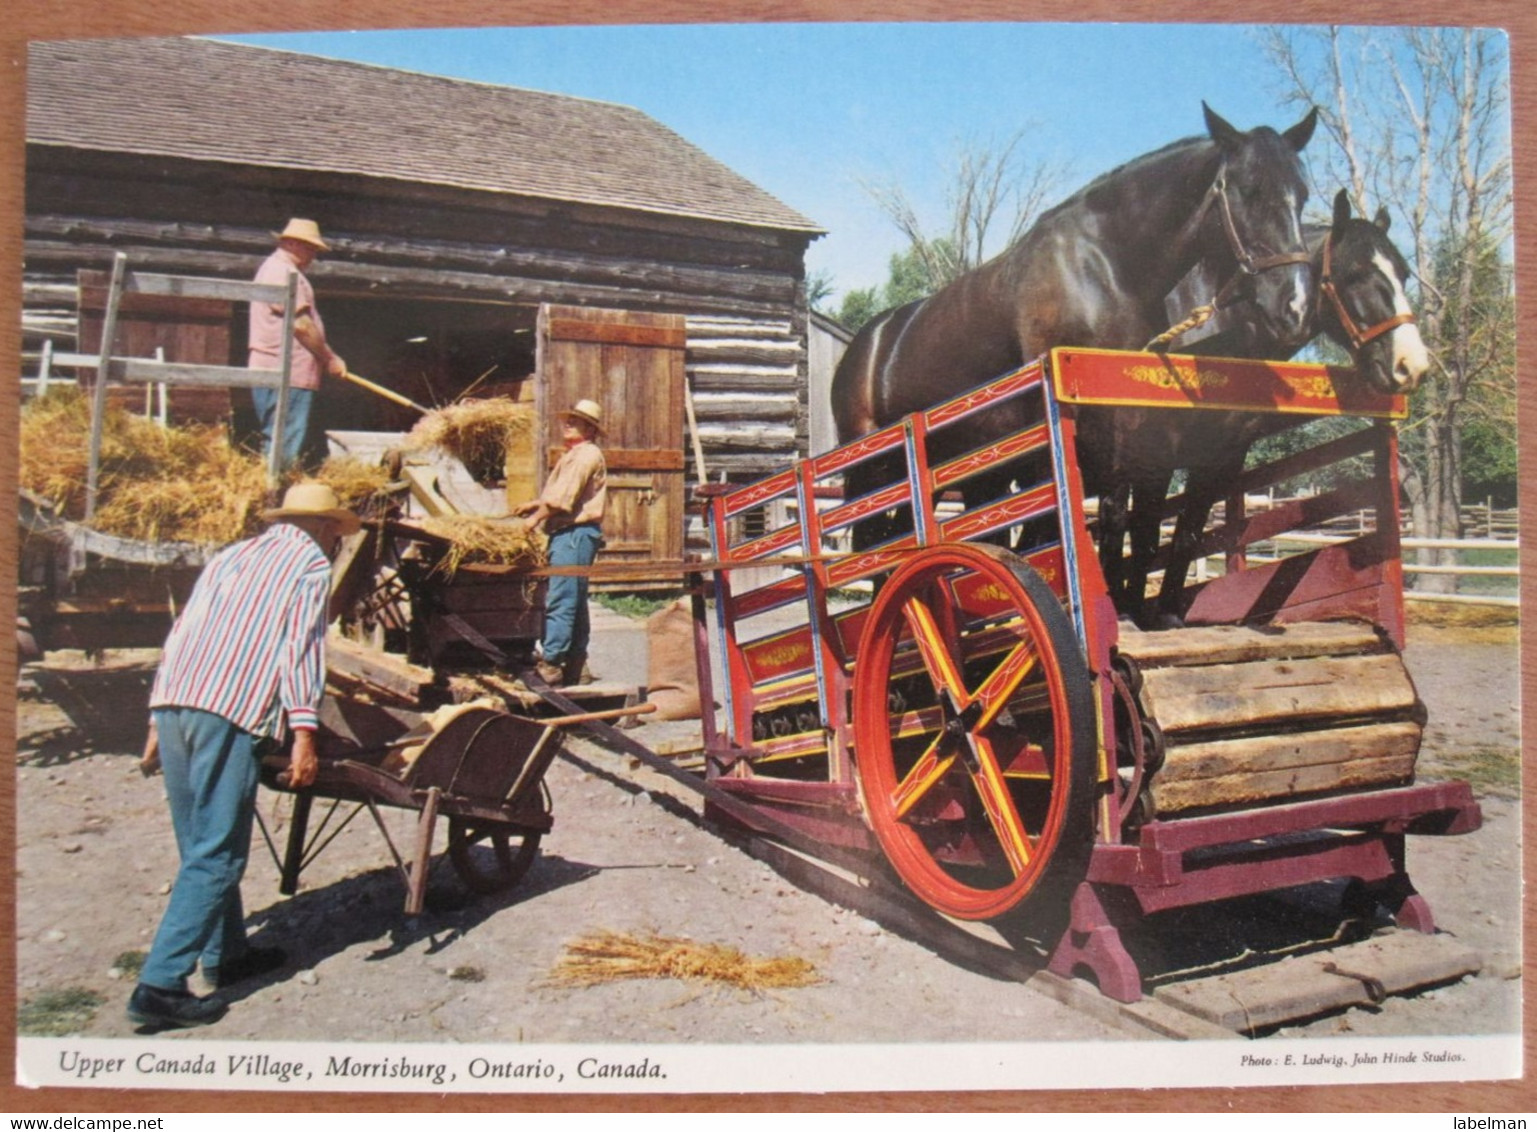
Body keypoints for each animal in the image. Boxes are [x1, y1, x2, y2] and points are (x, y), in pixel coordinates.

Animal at [829, 106, 1321, 562]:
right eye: (1249, 190)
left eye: (1301, 195)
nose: (1295, 305)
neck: (1107, 265)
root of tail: (865, 344)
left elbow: (1120, 518)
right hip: (871, 472)